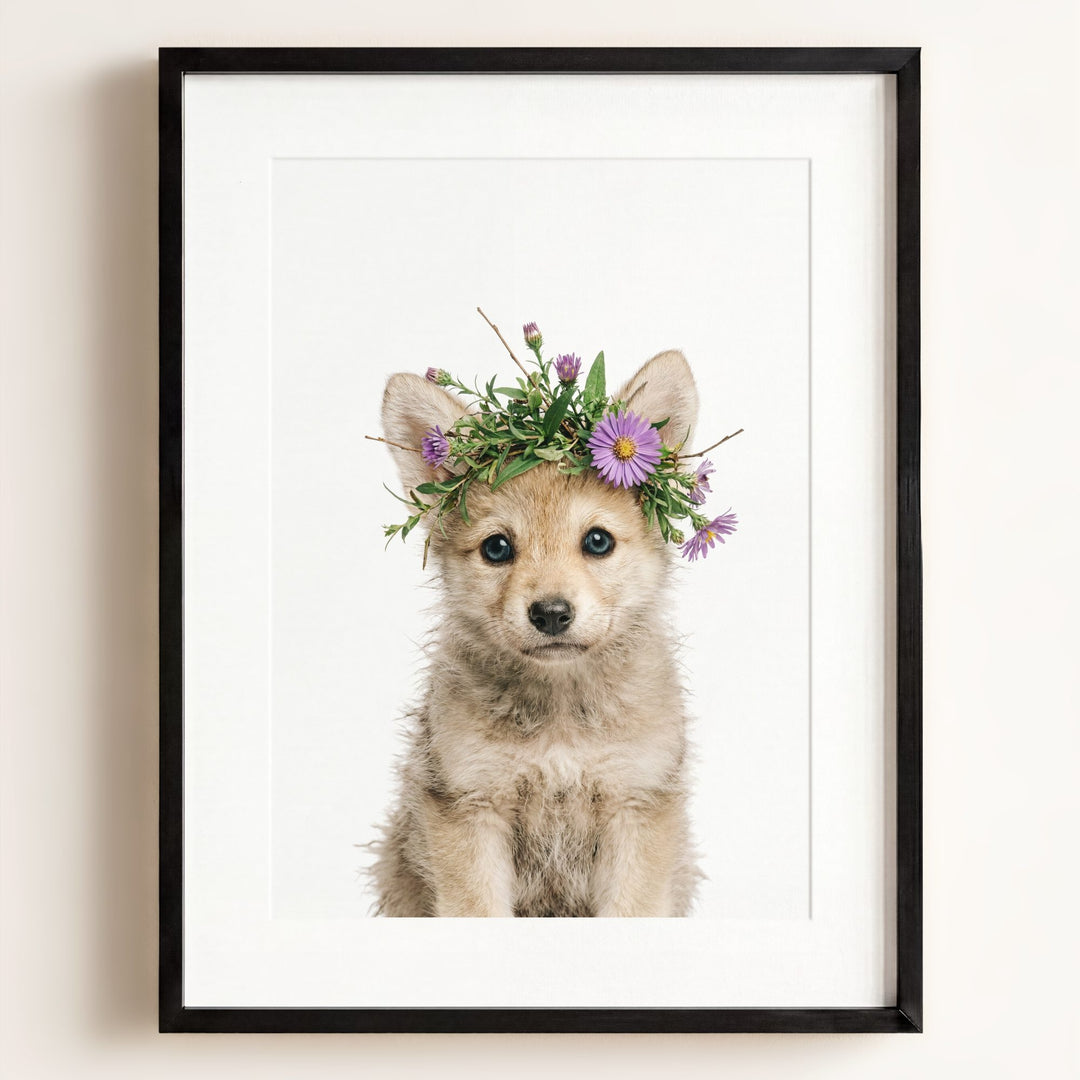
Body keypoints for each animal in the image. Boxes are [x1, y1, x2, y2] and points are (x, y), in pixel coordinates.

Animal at [370, 350, 702, 916]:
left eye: (597, 541)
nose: (550, 614)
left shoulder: (636, 805)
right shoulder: (471, 807)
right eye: (497, 548)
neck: (560, 719)